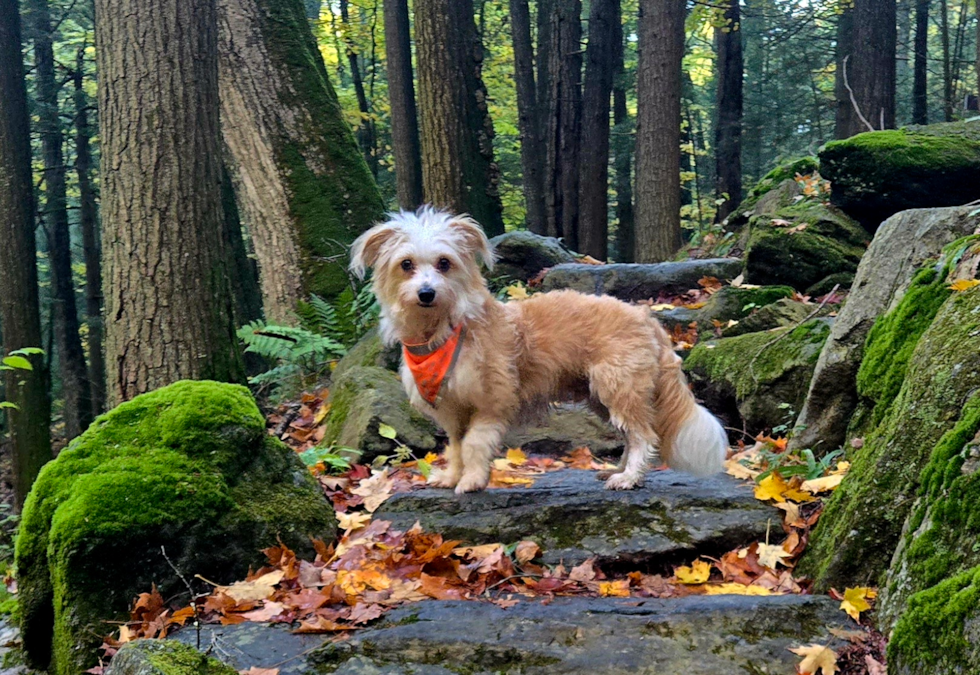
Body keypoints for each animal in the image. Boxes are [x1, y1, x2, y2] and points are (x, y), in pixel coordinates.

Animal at [352, 209, 728, 494]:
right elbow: (456, 447)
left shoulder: (491, 403)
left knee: (643, 435)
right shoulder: (453, 411)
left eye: (444, 263)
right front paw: (452, 476)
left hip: (619, 386)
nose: (427, 293)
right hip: (602, 395)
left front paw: (471, 481)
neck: (446, 329)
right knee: (630, 433)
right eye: (406, 264)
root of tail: (647, 318)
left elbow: (474, 444)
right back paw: (617, 470)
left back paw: (629, 477)